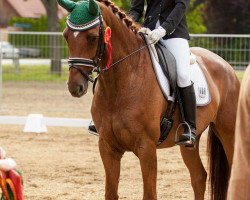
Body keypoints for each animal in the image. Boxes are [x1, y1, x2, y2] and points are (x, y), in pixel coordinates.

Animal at [62, 0, 240, 199]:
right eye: (66, 36)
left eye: (92, 37)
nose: (75, 86)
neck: (122, 83)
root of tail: (226, 65)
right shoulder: (107, 147)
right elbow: (110, 193)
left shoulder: (146, 147)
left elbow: (149, 193)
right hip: (189, 142)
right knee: (199, 177)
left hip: (229, 133)